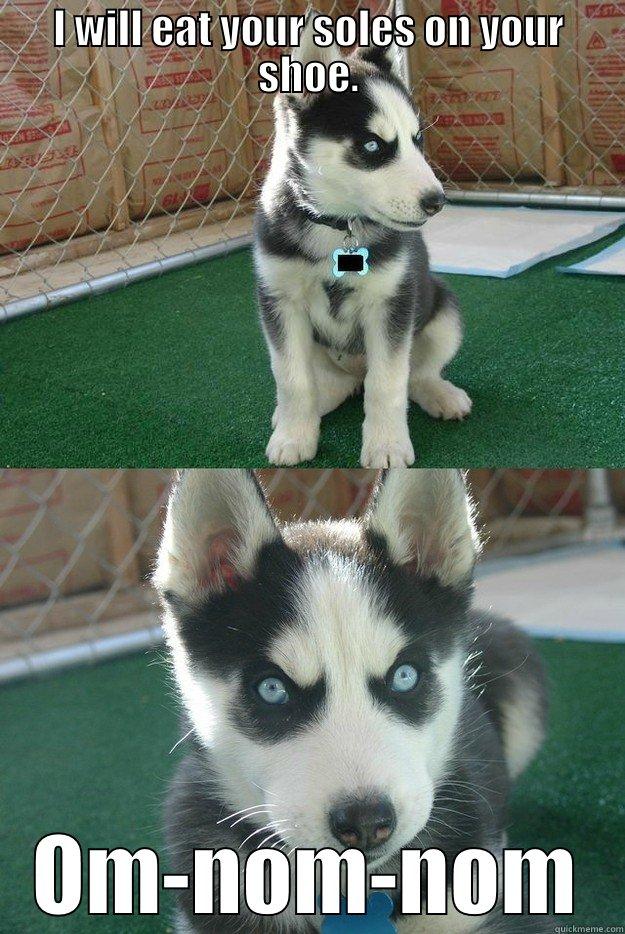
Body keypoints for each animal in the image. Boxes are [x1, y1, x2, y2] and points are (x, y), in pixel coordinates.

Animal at [251, 17, 470, 468]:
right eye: (372, 145)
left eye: (417, 140)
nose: (437, 202)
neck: (337, 226)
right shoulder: (280, 302)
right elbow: (292, 379)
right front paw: (294, 435)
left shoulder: (391, 304)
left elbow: (387, 383)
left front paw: (386, 445)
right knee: (329, 385)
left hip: (444, 312)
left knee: (414, 375)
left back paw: (440, 394)